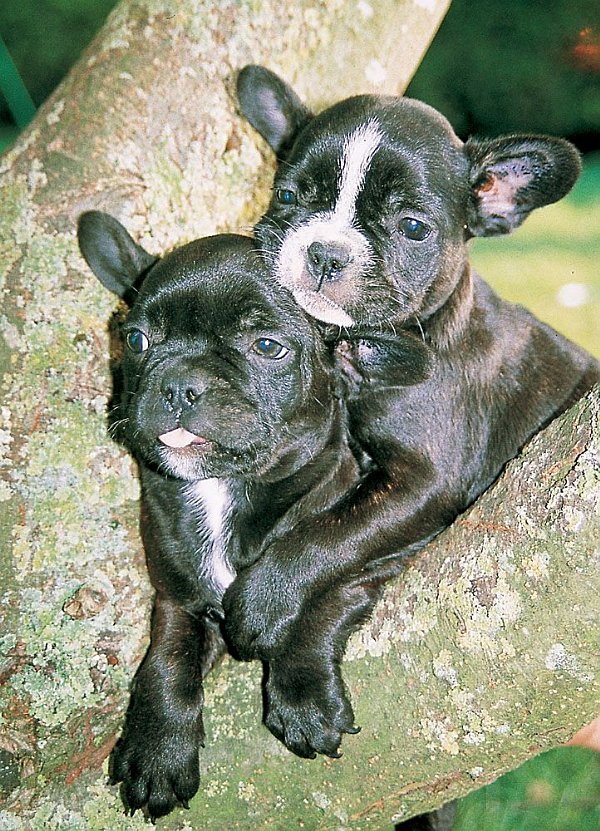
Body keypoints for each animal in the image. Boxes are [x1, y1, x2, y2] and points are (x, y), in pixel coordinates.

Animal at [76, 214, 380, 820]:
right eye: (136, 340)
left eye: (266, 346)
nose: (179, 383)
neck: (222, 488)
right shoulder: (180, 599)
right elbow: (166, 660)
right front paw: (156, 751)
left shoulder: (365, 548)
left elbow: (323, 593)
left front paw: (302, 695)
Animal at [225, 63, 600, 716]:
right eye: (290, 197)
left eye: (413, 228)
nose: (324, 252)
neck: (353, 350)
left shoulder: (424, 483)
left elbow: (328, 538)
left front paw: (263, 602)